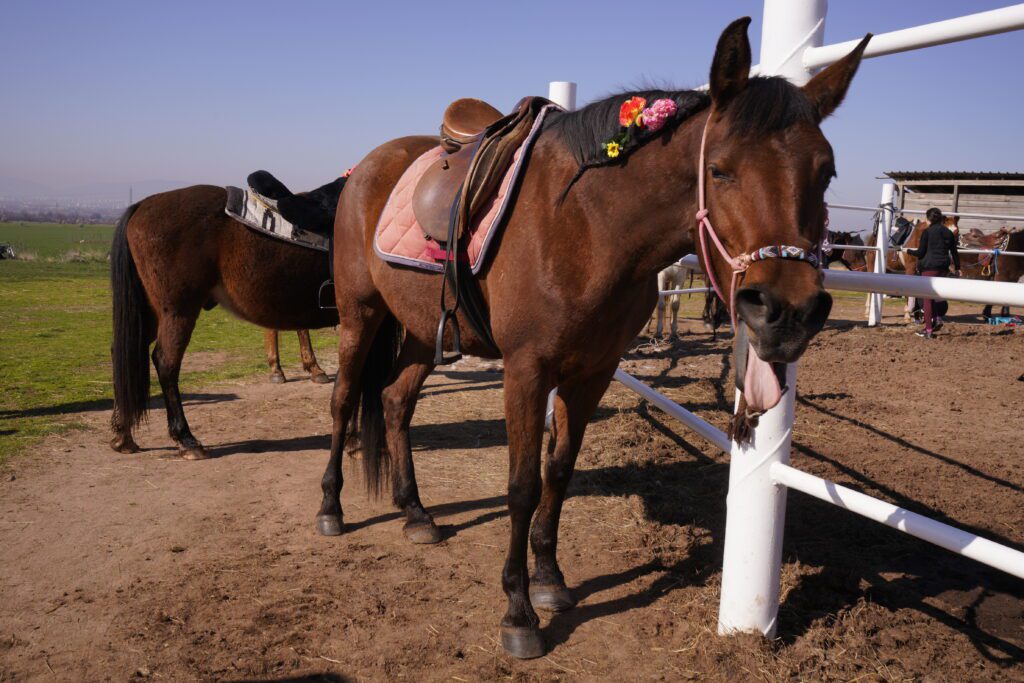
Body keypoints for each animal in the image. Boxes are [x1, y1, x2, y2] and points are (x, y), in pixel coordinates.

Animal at [109, 173, 345, 459]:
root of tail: (142, 205)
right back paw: (186, 439)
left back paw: (123, 435)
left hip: (152, 313)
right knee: (166, 363)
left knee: (124, 351)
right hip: (178, 311)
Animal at [318, 19, 869, 659]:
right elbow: (523, 484)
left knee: (394, 402)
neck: (585, 223)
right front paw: (519, 612)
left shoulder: (592, 371)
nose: (787, 311)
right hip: (360, 315)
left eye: (826, 171)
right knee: (343, 401)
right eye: (720, 169)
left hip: (416, 329)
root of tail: (368, 167)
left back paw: (415, 513)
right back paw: (331, 507)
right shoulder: (526, 370)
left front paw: (550, 580)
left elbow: (559, 471)